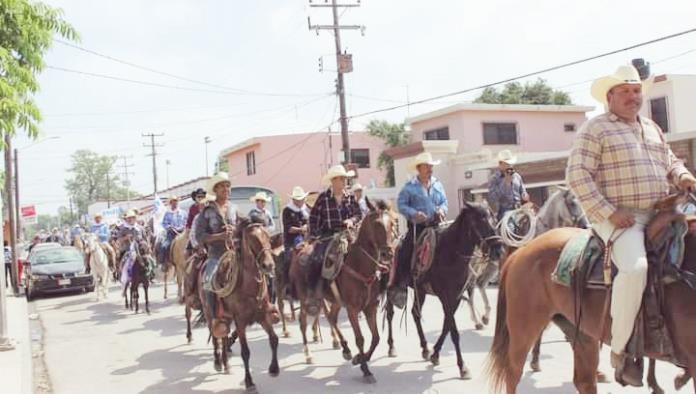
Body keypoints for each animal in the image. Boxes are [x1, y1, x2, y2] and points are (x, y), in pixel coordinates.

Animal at [196, 220, 278, 392]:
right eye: (253, 239)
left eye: (268, 237)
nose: (268, 265)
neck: (248, 285)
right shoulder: (240, 321)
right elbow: (245, 352)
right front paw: (249, 382)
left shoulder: (262, 316)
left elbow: (274, 339)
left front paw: (274, 369)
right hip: (209, 313)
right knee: (215, 336)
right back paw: (218, 362)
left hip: (226, 317)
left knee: (224, 335)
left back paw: (226, 364)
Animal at [384, 202, 502, 380]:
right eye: (479, 221)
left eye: (494, 218)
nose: (499, 250)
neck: (450, 254)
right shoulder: (445, 296)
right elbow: (453, 331)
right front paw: (462, 367)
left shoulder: (456, 297)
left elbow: (447, 325)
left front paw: (435, 354)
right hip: (390, 286)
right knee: (390, 313)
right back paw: (391, 347)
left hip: (420, 291)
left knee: (415, 313)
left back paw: (425, 348)